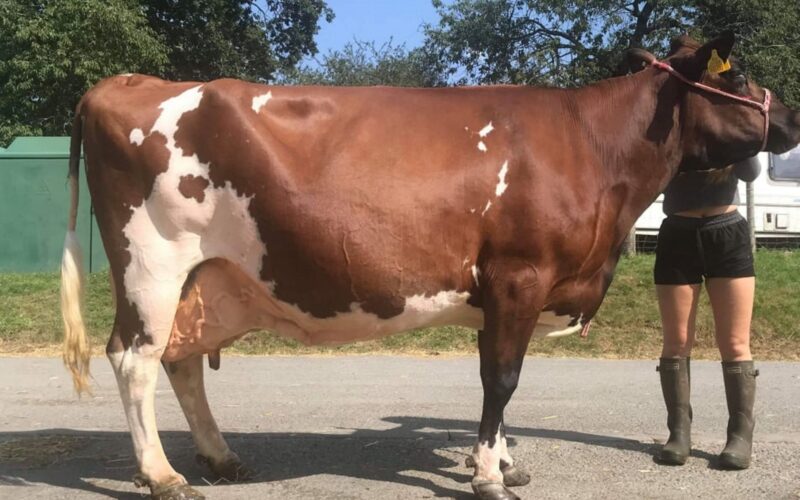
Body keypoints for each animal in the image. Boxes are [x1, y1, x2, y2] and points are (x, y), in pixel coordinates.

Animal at [60, 32, 799, 500]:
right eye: (738, 77)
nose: (791, 121)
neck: (592, 146)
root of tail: (124, 83)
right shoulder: (518, 275)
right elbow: (503, 379)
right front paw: (489, 476)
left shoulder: (496, 293)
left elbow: (497, 383)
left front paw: (501, 460)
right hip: (151, 263)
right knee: (135, 359)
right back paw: (162, 477)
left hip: (207, 279)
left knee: (180, 360)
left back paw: (218, 457)